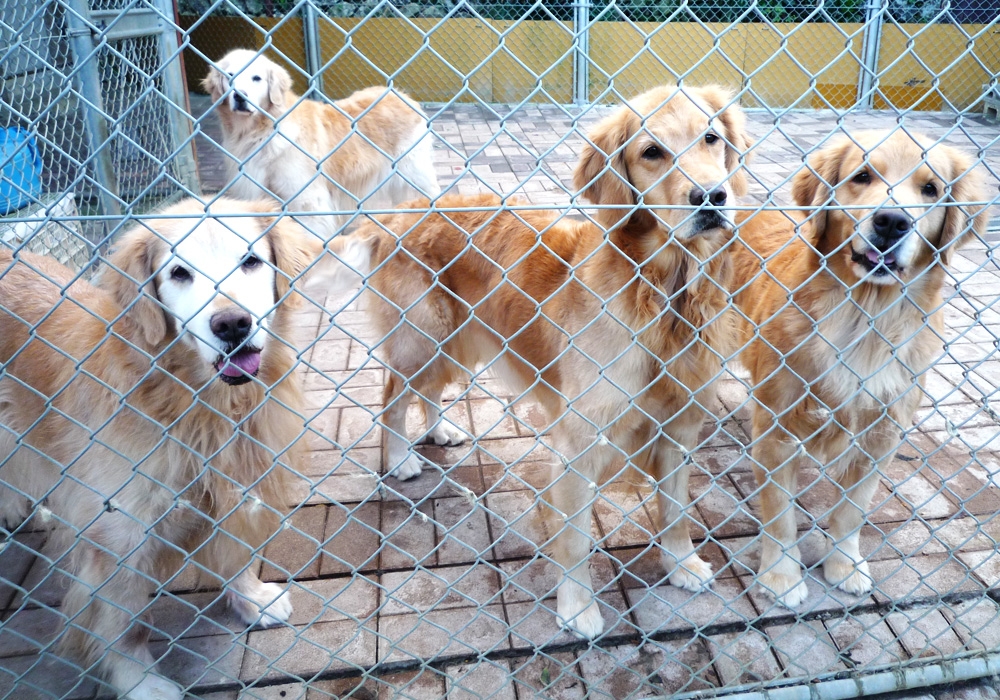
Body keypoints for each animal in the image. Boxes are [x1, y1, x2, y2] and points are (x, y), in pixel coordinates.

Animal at [0, 197, 318, 700]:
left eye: (250, 261)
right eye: (179, 273)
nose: (232, 324)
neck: (192, 401)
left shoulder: (231, 486)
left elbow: (235, 551)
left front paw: (250, 598)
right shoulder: (116, 539)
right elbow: (125, 626)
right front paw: (140, 682)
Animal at [201, 48, 440, 238]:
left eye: (256, 78)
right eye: (230, 76)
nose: (239, 96)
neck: (262, 131)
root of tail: (401, 94)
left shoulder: (308, 203)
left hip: (413, 176)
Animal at [312, 85, 752, 636]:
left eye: (711, 138)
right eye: (652, 152)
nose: (712, 197)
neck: (663, 295)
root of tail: (403, 211)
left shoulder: (680, 426)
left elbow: (675, 510)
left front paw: (681, 563)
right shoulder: (578, 445)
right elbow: (577, 539)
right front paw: (579, 608)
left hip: (456, 340)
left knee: (429, 391)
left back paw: (439, 431)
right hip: (422, 337)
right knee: (392, 397)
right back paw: (400, 460)